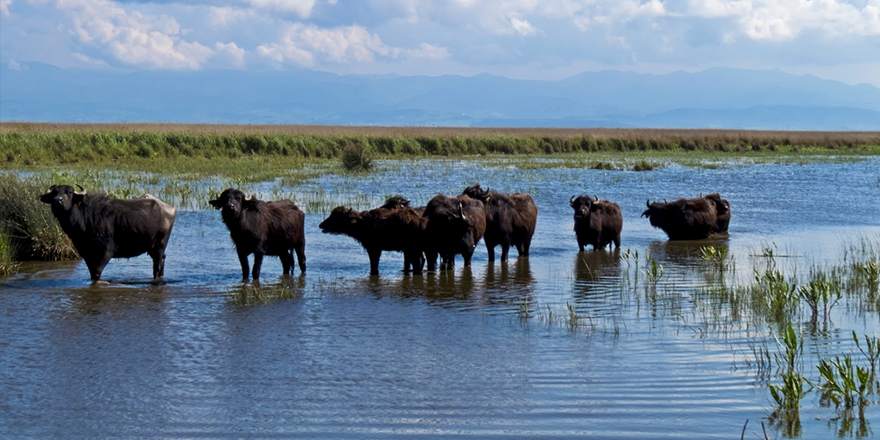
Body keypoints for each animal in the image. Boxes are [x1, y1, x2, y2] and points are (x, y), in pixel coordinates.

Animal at [40, 184, 177, 284]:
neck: (86, 219)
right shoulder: (86, 253)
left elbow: (97, 272)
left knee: (158, 266)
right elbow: (92, 273)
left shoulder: (107, 251)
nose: (57, 201)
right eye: (54, 193)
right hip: (153, 249)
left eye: (69, 192)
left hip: (160, 246)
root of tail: (169, 208)